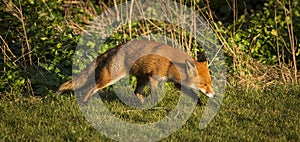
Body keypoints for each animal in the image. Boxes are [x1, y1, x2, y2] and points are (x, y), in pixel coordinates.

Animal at [57, 39, 214, 103]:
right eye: (204, 85)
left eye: (209, 83)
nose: (213, 94)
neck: (171, 64)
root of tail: (112, 49)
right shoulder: (153, 78)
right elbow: (155, 96)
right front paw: (155, 107)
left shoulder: (176, 82)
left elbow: (193, 95)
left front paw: (200, 105)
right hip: (110, 78)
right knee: (92, 88)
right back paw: (84, 102)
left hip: (141, 79)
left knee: (136, 92)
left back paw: (141, 103)